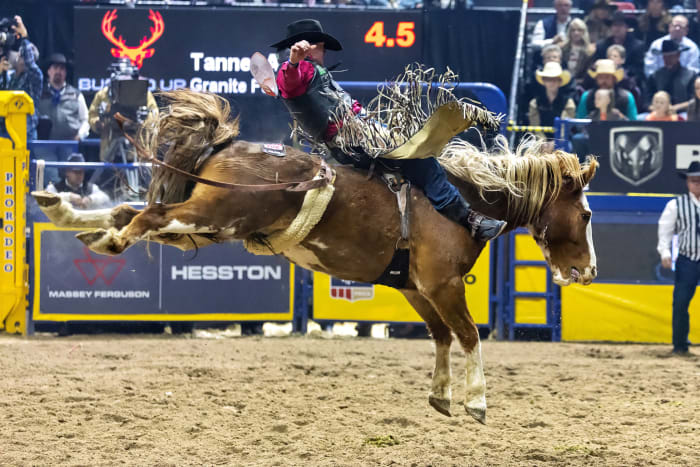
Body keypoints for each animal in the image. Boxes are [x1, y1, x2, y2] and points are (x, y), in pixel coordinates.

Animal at [31, 86, 596, 426]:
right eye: (588, 215)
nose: (588, 272)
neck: (467, 200)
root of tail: (225, 146)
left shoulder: (417, 288)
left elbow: (440, 336)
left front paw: (441, 396)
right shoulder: (442, 283)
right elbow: (469, 333)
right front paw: (477, 400)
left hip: (206, 224)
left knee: (129, 210)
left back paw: (68, 214)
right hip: (212, 214)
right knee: (143, 217)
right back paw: (99, 235)